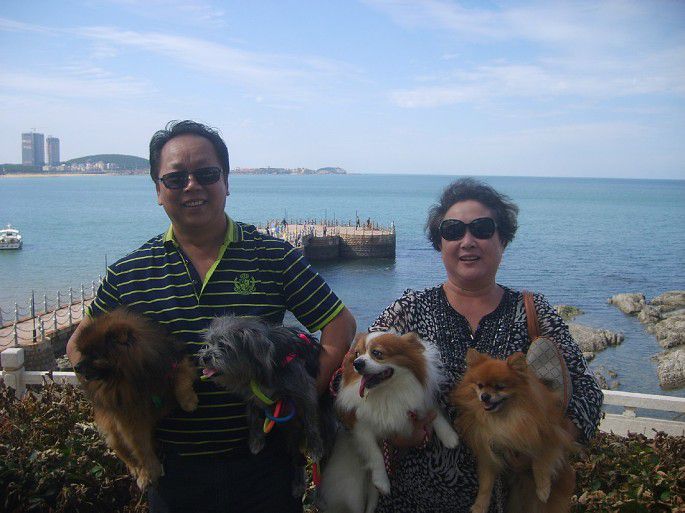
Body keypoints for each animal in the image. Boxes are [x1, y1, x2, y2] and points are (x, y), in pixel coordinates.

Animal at [73, 307, 198, 489]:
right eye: (82, 354)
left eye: (94, 355)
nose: (76, 366)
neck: (131, 376)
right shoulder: (130, 420)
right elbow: (141, 450)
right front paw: (149, 472)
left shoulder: (177, 363)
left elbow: (181, 379)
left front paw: (188, 401)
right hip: (114, 434)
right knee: (124, 453)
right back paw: (137, 470)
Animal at [197, 315, 336, 496]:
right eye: (208, 344)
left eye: (223, 345)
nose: (205, 357)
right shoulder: (254, 397)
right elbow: (253, 418)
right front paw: (256, 441)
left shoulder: (305, 391)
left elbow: (311, 421)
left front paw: (315, 447)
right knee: (297, 458)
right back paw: (298, 483)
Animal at [319, 331, 459, 513]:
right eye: (357, 354)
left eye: (377, 353)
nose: (357, 363)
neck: (387, 390)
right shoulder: (361, 428)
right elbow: (376, 454)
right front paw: (382, 481)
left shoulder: (418, 402)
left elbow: (434, 412)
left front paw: (449, 437)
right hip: (353, 492)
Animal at [450, 348, 577, 513]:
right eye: (480, 385)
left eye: (500, 387)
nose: (485, 396)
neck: (503, 417)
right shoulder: (488, 453)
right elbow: (486, 483)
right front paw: (480, 505)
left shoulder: (548, 437)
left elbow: (540, 462)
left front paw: (543, 489)